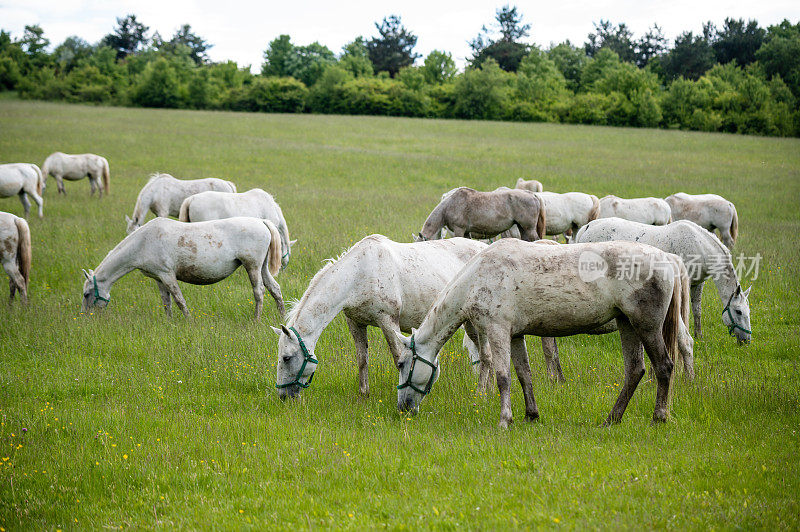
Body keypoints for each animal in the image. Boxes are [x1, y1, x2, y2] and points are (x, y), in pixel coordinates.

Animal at [81, 217, 286, 318]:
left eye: (86, 294)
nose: (84, 316)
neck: (143, 243)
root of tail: (261, 222)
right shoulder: (159, 279)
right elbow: (167, 302)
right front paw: (169, 322)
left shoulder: (167, 275)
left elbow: (179, 300)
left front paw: (189, 321)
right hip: (262, 268)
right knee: (275, 289)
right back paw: (282, 317)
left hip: (252, 267)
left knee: (259, 292)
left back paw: (256, 319)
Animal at [274, 235, 488, 396]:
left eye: (286, 358)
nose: (283, 396)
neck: (359, 273)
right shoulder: (355, 323)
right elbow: (362, 359)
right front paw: (364, 394)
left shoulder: (388, 322)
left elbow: (398, 357)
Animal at [394, 241, 680, 428]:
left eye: (401, 363)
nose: (403, 408)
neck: (478, 277)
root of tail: (668, 258)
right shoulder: (514, 336)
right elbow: (524, 375)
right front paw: (531, 414)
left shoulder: (498, 331)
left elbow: (503, 377)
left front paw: (504, 420)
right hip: (627, 324)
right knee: (635, 370)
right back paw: (612, 419)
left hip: (646, 326)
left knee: (664, 367)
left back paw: (659, 417)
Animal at [576, 218, 752, 342]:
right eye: (738, 311)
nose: (747, 340)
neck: (700, 246)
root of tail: (587, 227)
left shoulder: (697, 284)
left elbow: (697, 310)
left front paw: (699, 335)